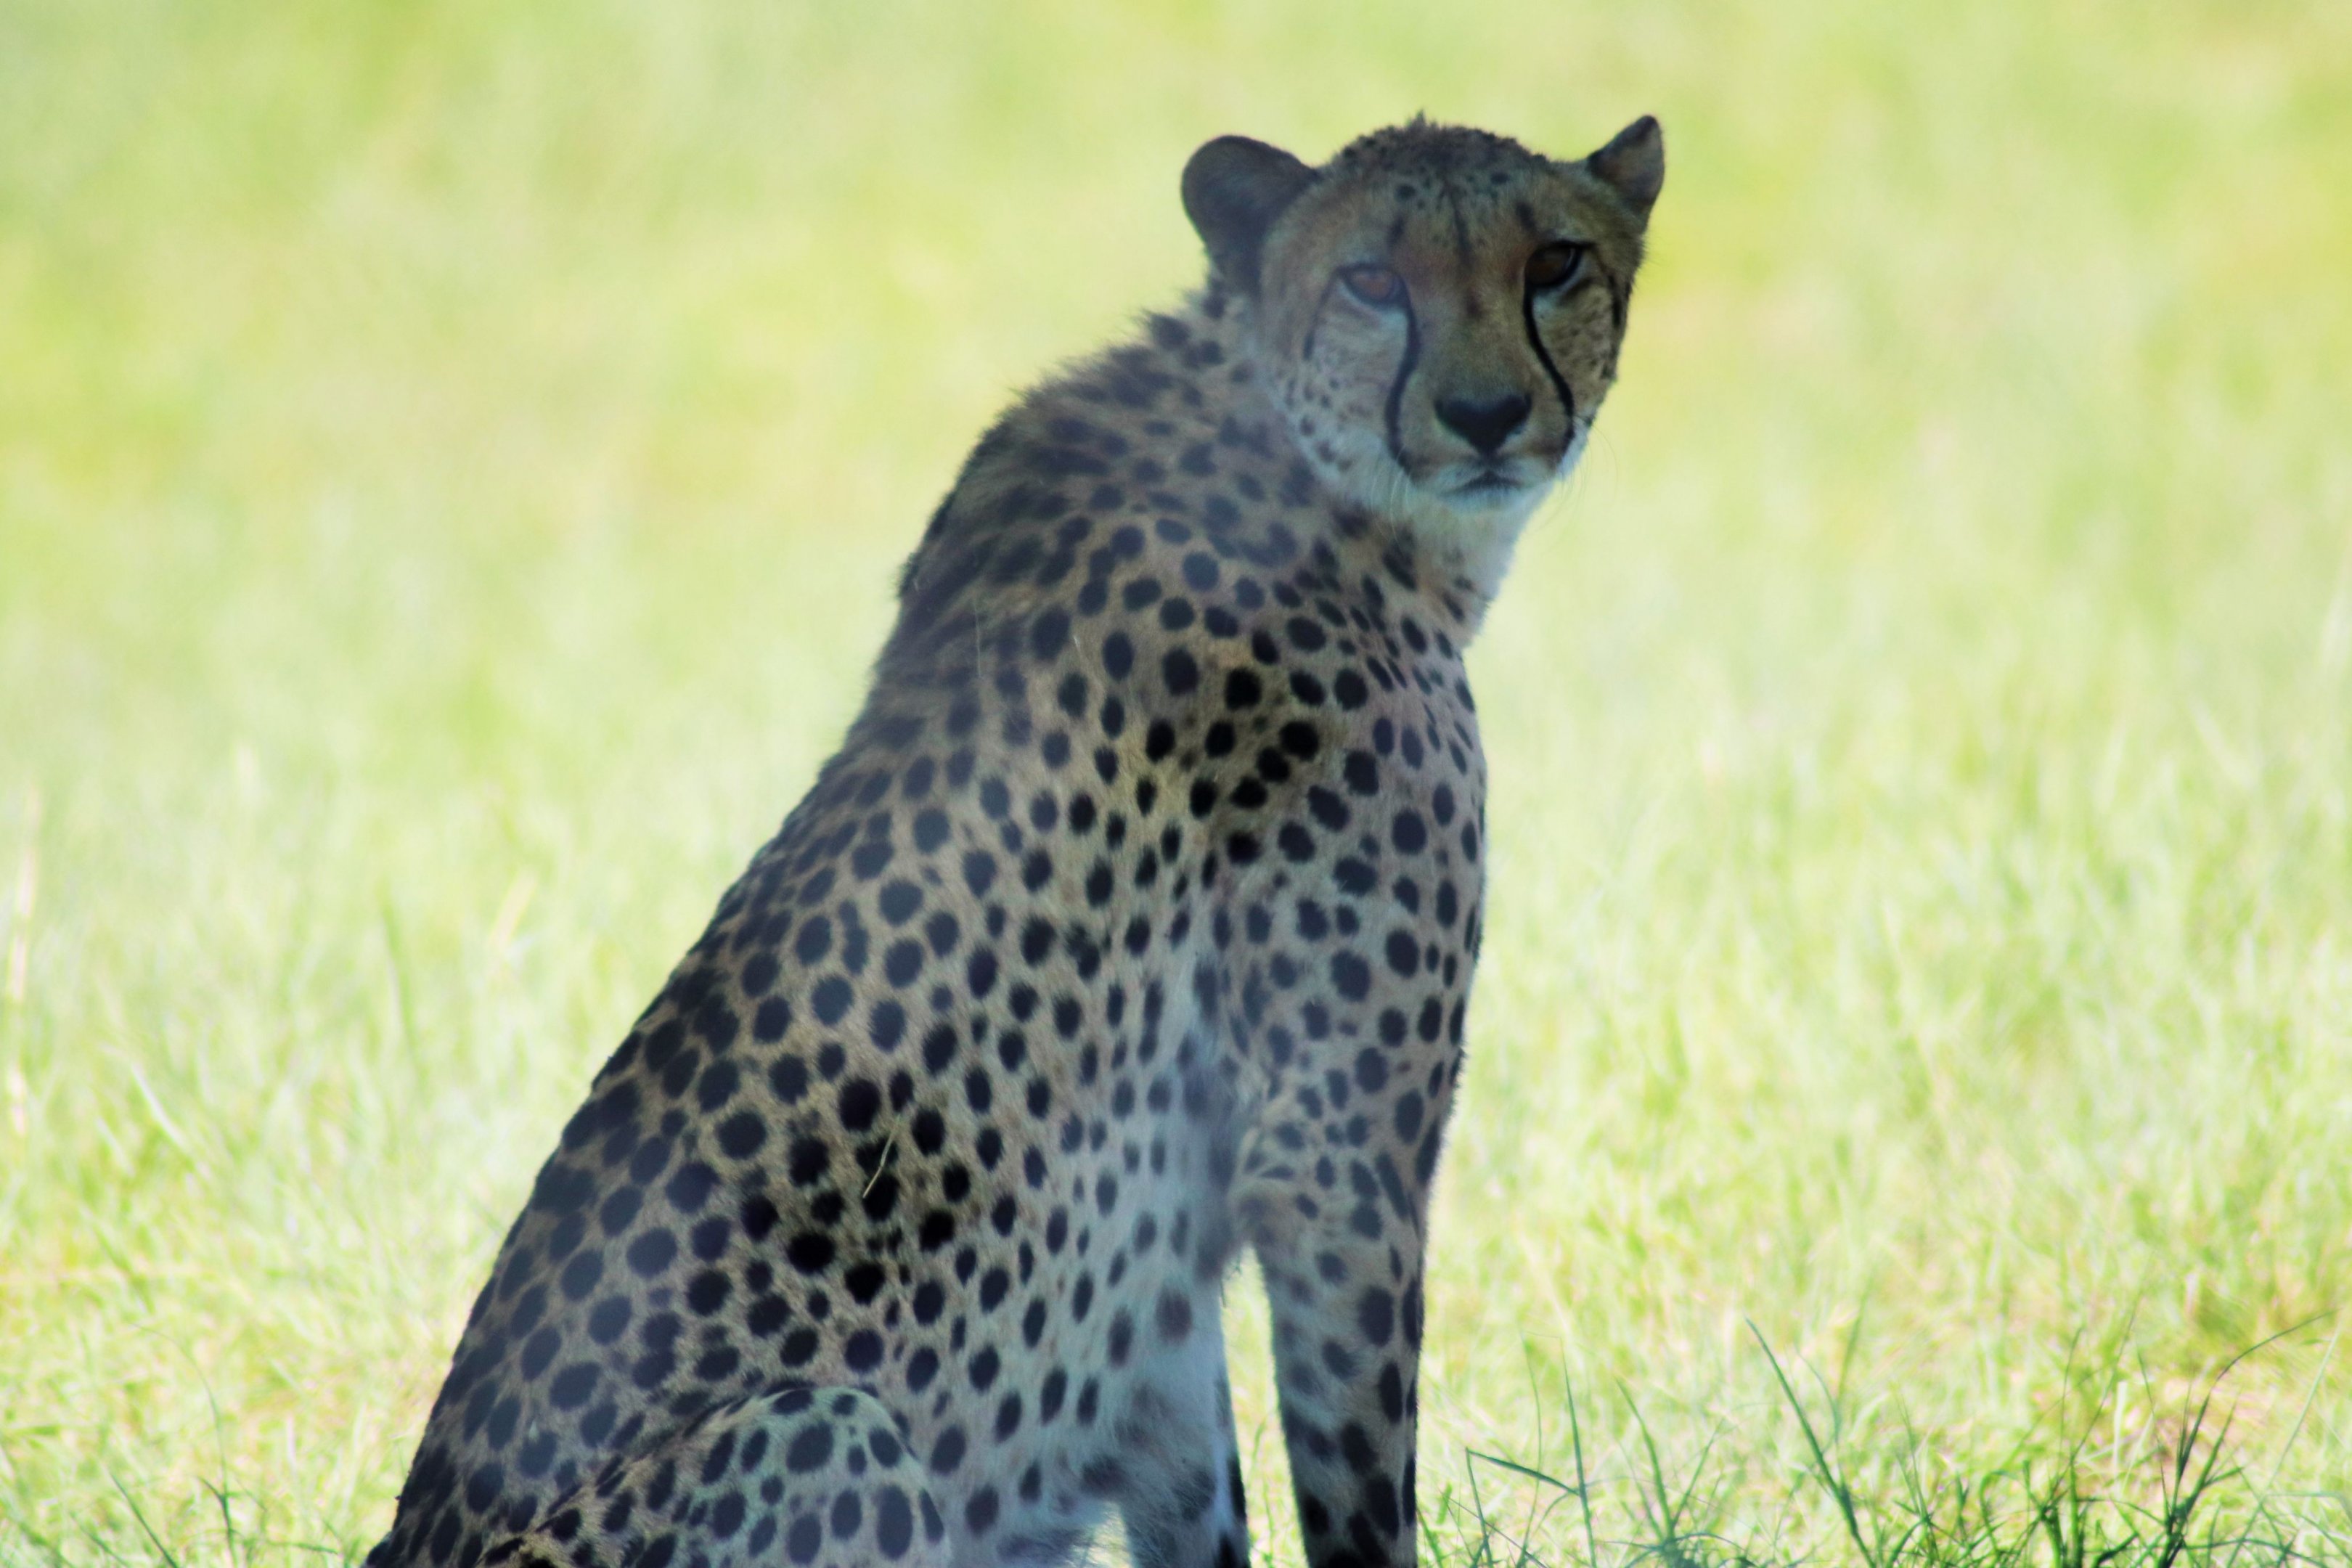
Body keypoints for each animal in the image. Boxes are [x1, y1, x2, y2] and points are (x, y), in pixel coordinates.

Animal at [365, 112, 1664, 1568]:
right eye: (1372, 279)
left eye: (1555, 262)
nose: (1486, 415)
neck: (1308, 473)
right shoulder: (1333, 1154)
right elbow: (1361, 1491)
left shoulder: (1158, 1269)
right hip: (828, 1429)